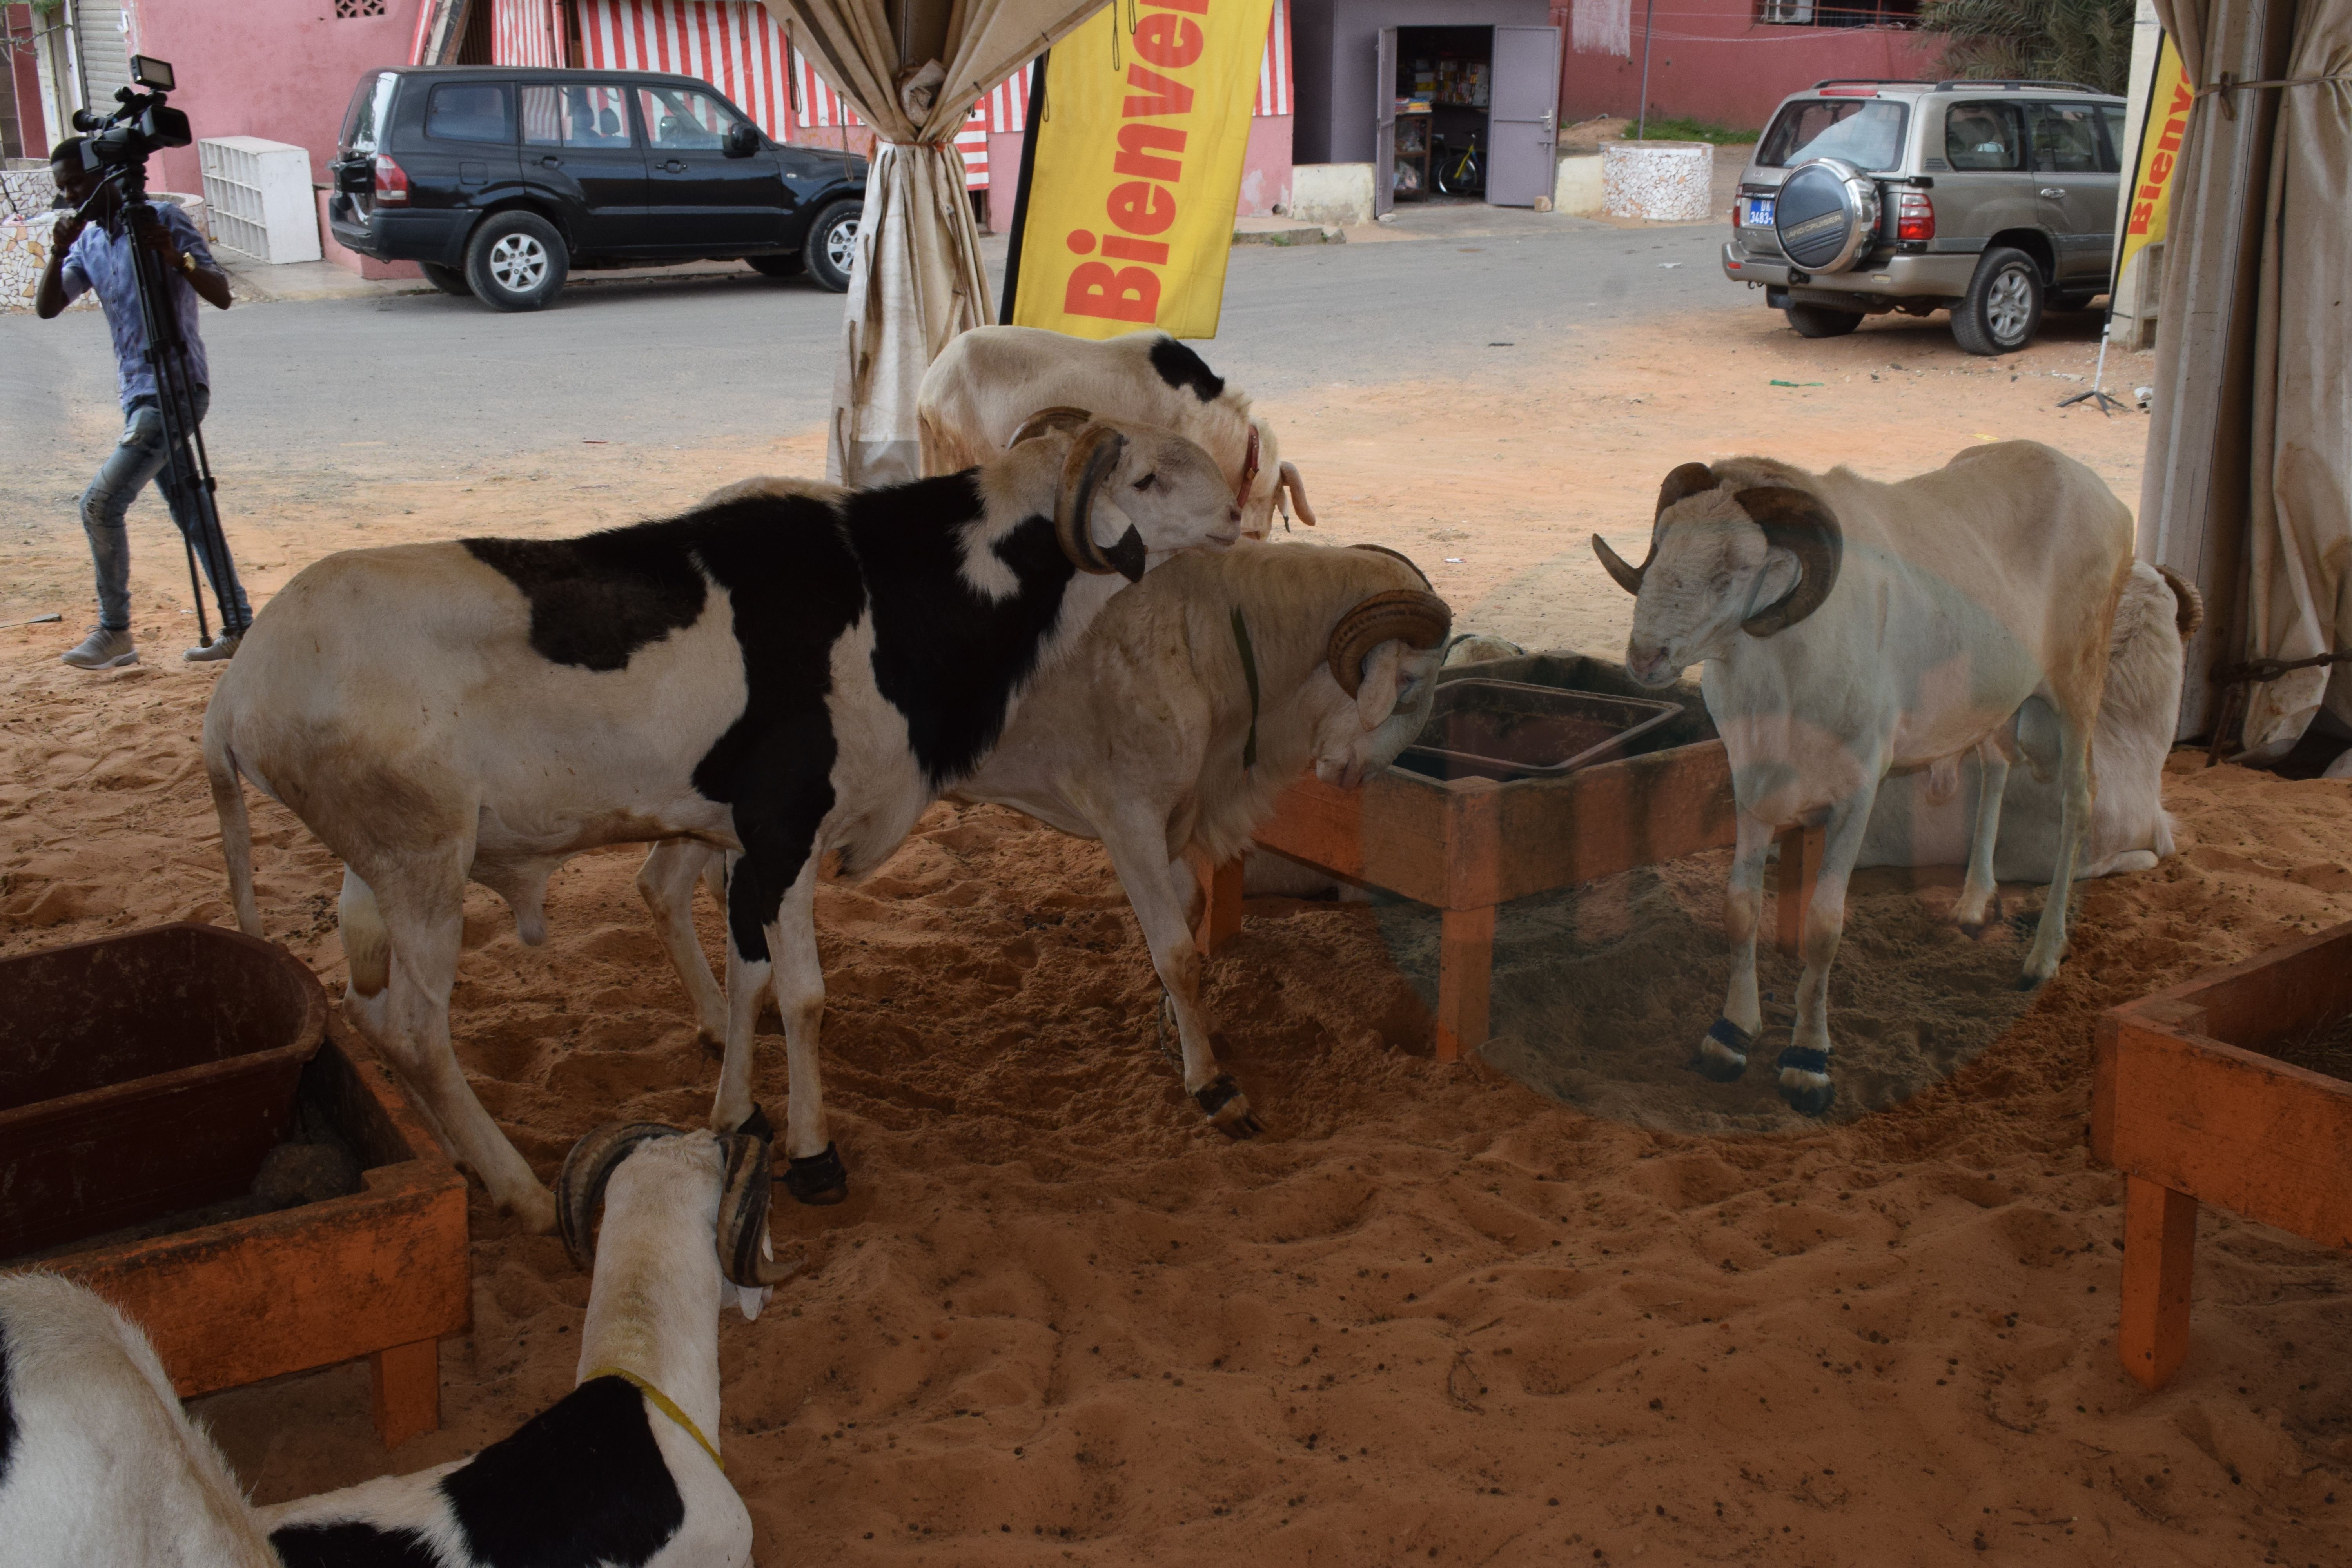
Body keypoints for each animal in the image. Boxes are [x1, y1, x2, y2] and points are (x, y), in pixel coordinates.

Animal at [204, 420, 1243, 1227]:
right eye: (1146, 478)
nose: (1236, 510)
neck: (885, 594)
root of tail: (237, 689)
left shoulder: (750, 844)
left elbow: (753, 980)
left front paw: (741, 1115)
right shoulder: (788, 828)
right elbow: (806, 997)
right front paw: (815, 1155)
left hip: (382, 866)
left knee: (375, 1002)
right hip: (423, 859)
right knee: (415, 1027)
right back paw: (520, 1190)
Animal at [638, 541, 1452, 1138]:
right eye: (1409, 683)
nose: (1352, 776)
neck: (1211, 641)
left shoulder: (1166, 824)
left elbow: (1187, 913)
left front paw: (1175, 1030)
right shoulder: (1126, 814)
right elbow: (1178, 953)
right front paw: (1213, 1087)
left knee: (662, 885)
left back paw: (716, 1024)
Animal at [1594, 443, 2133, 1115]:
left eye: (1733, 571)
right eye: (1661, 545)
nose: (1644, 658)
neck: (1781, 677)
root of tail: (2099, 491)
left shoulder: (1856, 794)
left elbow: (1825, 927)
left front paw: (1808, 1064)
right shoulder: (1752, 787)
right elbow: (1740, 910)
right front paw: (1729, 1037)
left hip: (2078, 683)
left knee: (2079, 802)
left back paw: (2042, 957)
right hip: (1989, 699)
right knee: (1995, 768)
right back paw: (1974, 904)